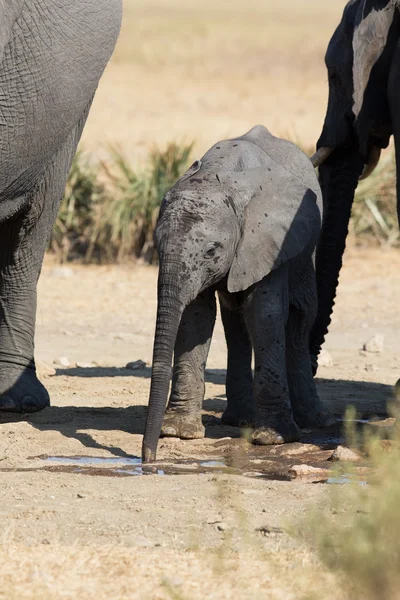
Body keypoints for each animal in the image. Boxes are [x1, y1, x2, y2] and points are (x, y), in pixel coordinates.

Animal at [142, 124, 332, 462]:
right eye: (157, 247)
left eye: (211, 251)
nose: (147, 459)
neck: (222, 179)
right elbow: (196, 317)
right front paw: (179, 432)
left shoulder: (268, 240)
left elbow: (265, 314)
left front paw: (272, 439)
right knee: (235, 323)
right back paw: (239, 420)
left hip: (306, 248)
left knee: (300, 318)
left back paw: (312, 420)